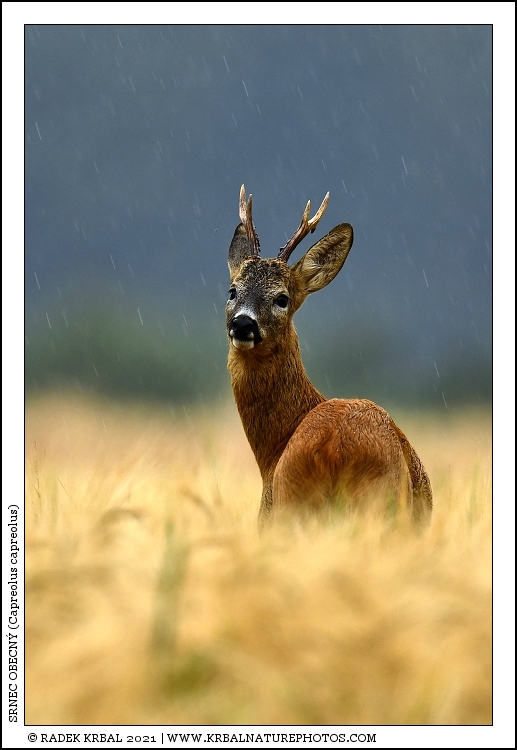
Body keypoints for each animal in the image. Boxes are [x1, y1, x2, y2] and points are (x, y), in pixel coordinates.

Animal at [226, 185, 432, 528]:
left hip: (293, 505)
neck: (272, 451)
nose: (243, 323)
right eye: (232, 291)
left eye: (282, 298)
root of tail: (335, 447)